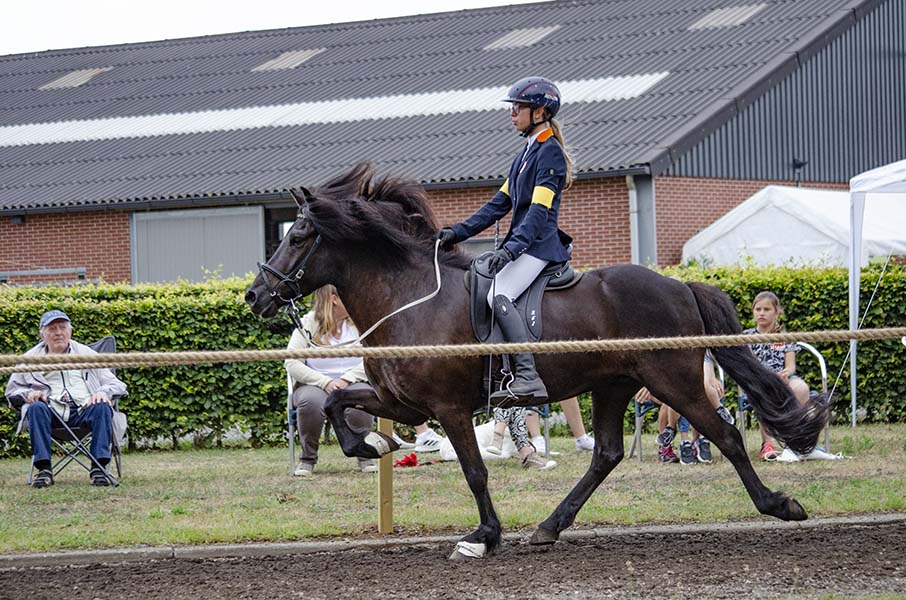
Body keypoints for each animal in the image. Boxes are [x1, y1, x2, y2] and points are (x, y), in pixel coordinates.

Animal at [245, 162, 828, 560]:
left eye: (298, 235)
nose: (254, 296)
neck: (409, 295)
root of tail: (678, 285)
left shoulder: (448, 408)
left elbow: (475, 471)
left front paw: (483, 536)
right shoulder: (403, 403)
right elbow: (338, 402)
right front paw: (371, 445)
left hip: (673, 380)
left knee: (725, 435)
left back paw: (779, 505)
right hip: (616, 384)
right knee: (607, 454)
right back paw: (550, 526)